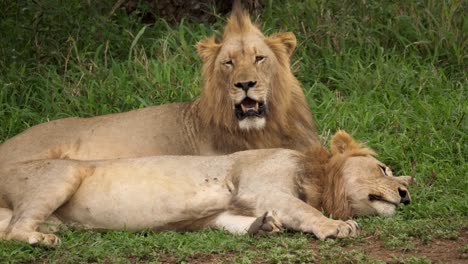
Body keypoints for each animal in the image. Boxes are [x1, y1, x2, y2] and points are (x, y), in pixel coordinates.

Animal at [0, 131, 414, 245]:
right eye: (383, 168)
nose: (407, 193)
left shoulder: (221, 212)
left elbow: (231, 222)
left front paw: (263, 226)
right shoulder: (260, 187)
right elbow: (305, 210)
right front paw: (336, 226)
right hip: (62, 175)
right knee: (16, 229)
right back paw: (40, 239)